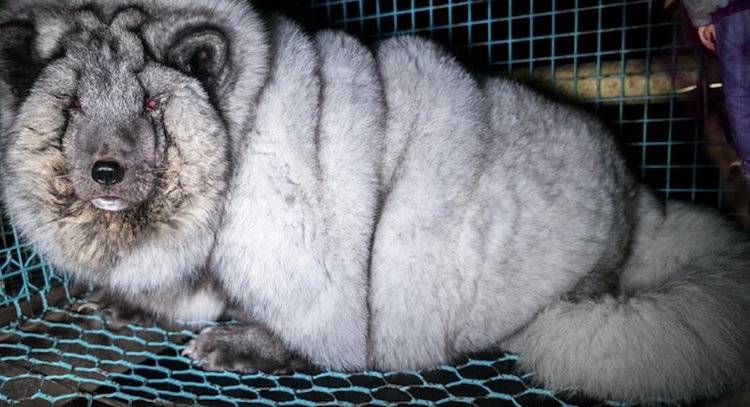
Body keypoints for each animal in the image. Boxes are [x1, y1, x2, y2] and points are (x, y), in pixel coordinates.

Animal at [0, 0, 747, 403]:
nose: (104, 170)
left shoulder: (290, 242)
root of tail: (638, 196)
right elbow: (190, 294)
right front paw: (130, 304)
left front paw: (242, 346)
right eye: (72, 105)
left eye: (153, 104)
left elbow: (301, 326)